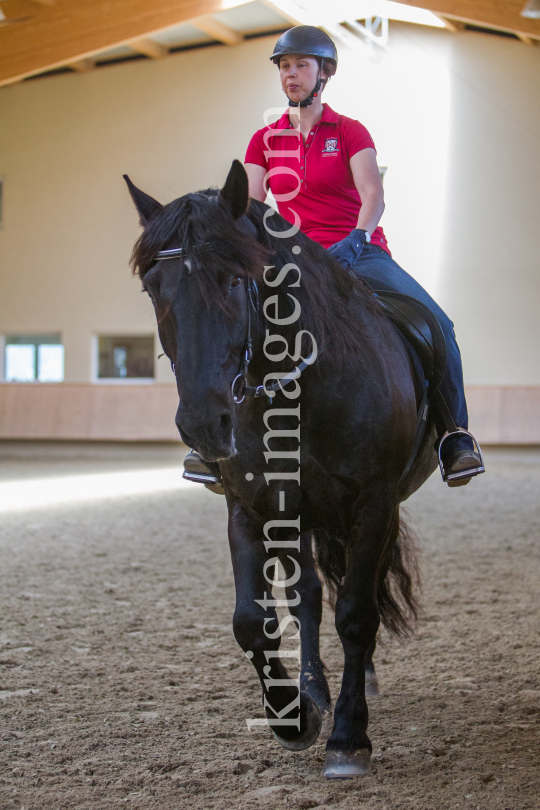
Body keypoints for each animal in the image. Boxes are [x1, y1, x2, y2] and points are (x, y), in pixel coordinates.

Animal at [125, 159, 438, 776]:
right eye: (153, 287)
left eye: (236, 279)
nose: (203, 424)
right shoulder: (250, 507)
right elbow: (253, 620)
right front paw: (293, 718)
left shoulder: (375, 503)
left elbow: (357, 615)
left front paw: (348, 737)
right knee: (310, 598)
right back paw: (313, 689)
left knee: (352, 599)